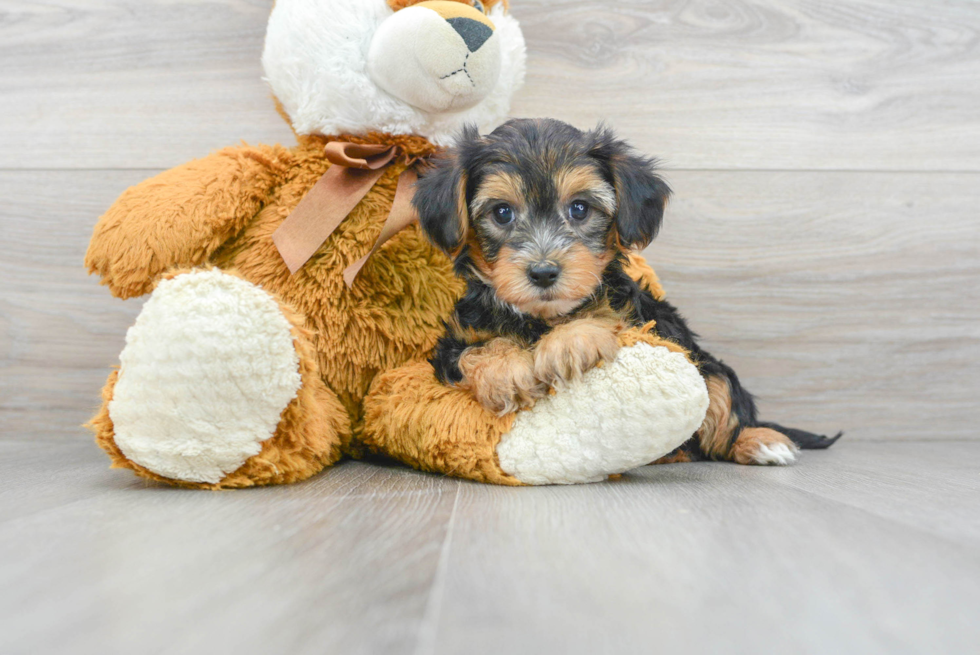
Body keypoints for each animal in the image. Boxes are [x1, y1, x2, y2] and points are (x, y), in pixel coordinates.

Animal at [410, 118, 840, 466]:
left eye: (580, 209)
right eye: (502, 213)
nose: (544, 272)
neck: (541, 318)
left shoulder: (644, 320)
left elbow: (605, 315)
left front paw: (570, 342)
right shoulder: (451, 344)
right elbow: (475, 350)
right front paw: (508, 371)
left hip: (711, 371)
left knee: (722, 423)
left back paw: (761, 441)